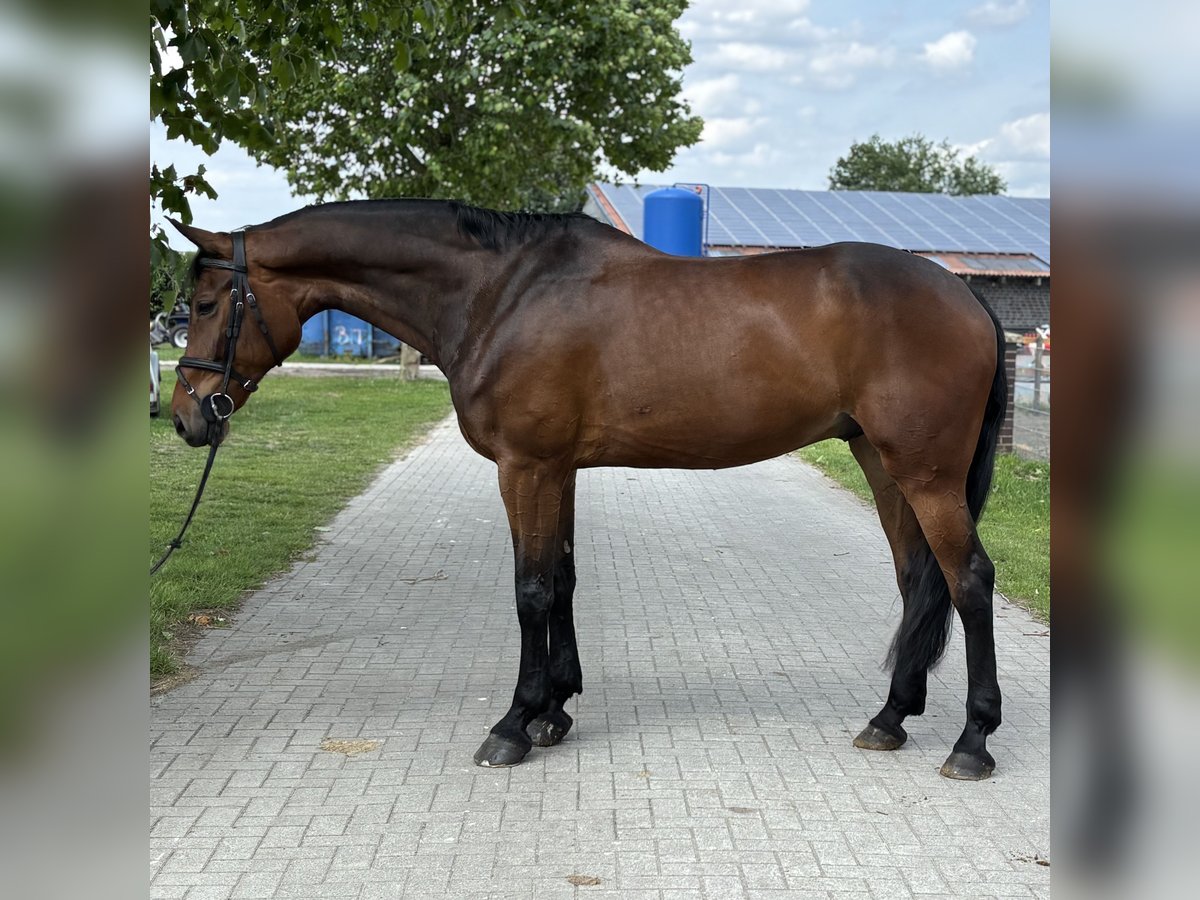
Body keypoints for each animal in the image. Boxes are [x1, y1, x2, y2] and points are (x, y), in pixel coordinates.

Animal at [168, 199, 1007, 780]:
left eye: (206, 305)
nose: (183, 417)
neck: (499, 292)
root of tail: (965, 295)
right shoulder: (557, 468)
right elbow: (563, 579)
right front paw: (555, 711)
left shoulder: (526, 466)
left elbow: (531, 589)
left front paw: (514, 724)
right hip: (881, 461)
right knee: (917, 580)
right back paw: (891, 717)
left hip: (924, 471)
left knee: (969, 580)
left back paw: (971, 742)